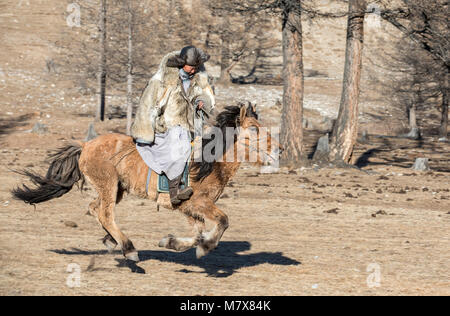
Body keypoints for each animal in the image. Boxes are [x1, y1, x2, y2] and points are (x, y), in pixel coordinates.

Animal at [11, 103, 282, 262]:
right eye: (254, 129)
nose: (278, 149)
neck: (208, 163)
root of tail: (85, 145)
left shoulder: (189, 210)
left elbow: (196, 234)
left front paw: (171, 242)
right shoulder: (196, 204)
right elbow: (222, 222)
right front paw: (205, 247)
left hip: (116, 189)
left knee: (95, 209)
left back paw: (113, 241)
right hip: (109, 185)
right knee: (105, 213)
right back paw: (128, 248)